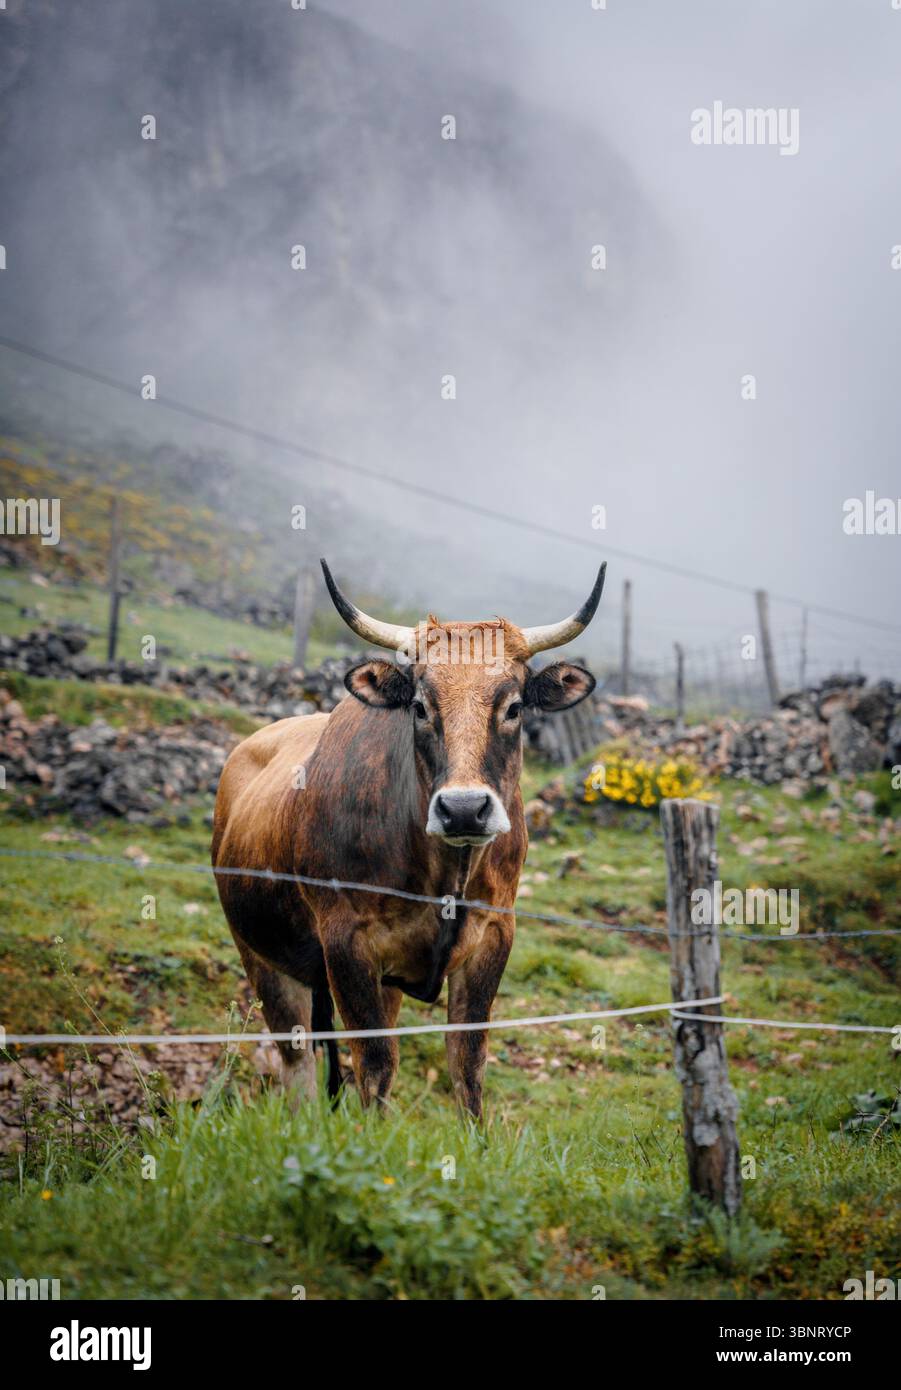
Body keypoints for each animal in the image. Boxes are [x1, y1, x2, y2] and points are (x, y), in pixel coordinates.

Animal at [212, 559, 606, 1118]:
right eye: (419, 706)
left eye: (513, 707)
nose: (463, 809)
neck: (442, 875)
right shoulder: (347, 943)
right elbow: (375, 1064)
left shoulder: (493, 936)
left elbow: (467, 1064)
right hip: (260, 954)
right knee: (297, 1060)